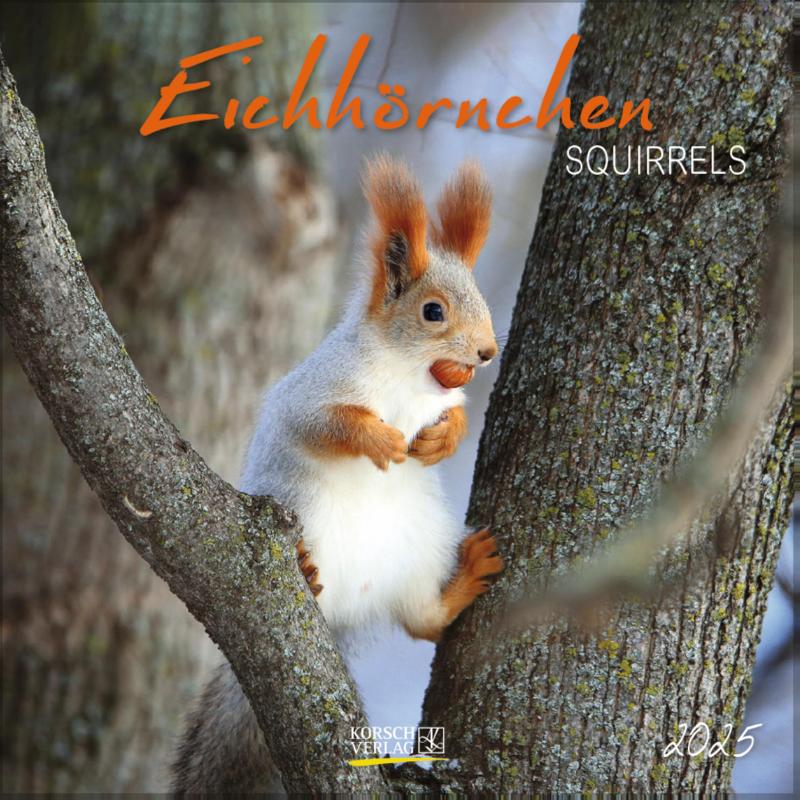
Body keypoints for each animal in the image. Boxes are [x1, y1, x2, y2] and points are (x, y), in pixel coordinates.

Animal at [171, 155, 503, 795]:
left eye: (482, 299)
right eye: (434, 311)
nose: (487, 353)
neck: (407, 379)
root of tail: (347, 606)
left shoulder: (439, 399)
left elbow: (451, 416)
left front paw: (441, 438)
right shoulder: (313, 393)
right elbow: (328, 424)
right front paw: (380, 439)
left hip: (420, 549)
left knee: (422, 620)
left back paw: (465, 577)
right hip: (303, 511)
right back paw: (303, 565)